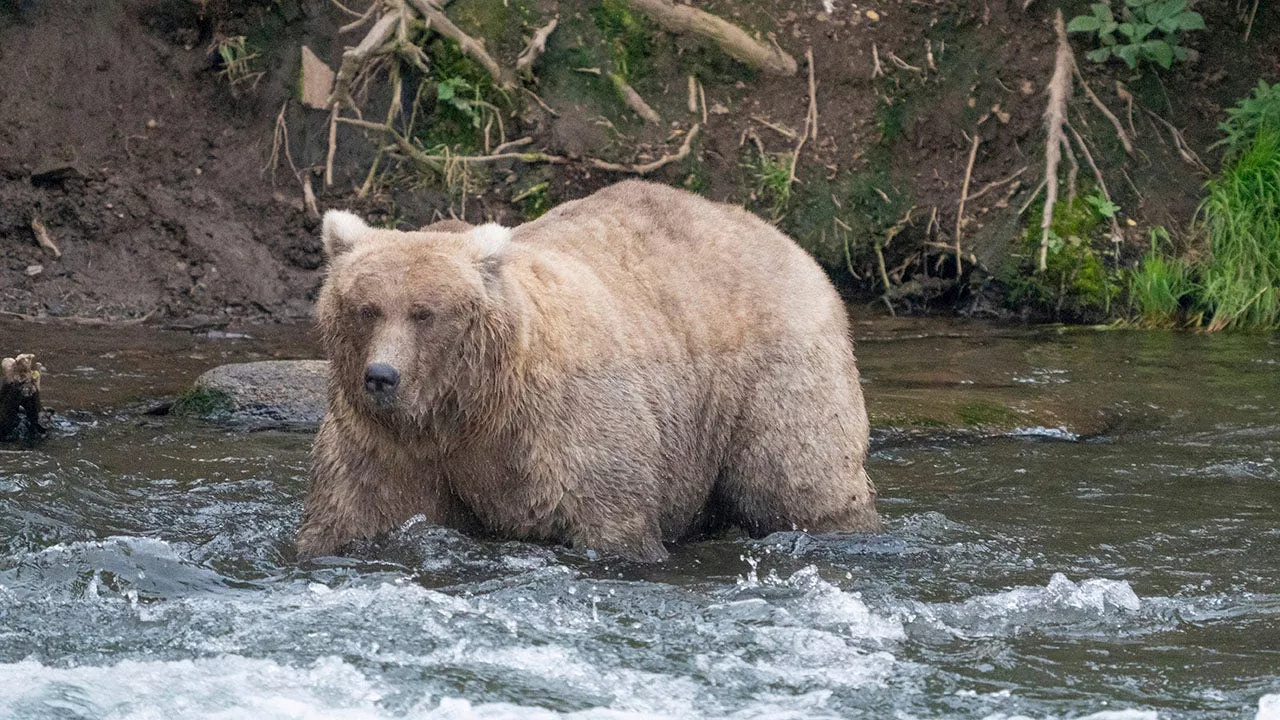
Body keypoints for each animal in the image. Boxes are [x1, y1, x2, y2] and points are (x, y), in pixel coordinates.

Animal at [296, 179, 880, 561]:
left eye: (424, 312)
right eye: (366, 308)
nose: (382, 376)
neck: (466, 408)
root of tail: (786, 241)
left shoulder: (561, 426)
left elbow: (608, 516)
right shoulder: (388, 444)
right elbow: (354, 512)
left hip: (773, 374)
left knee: (800, 479)